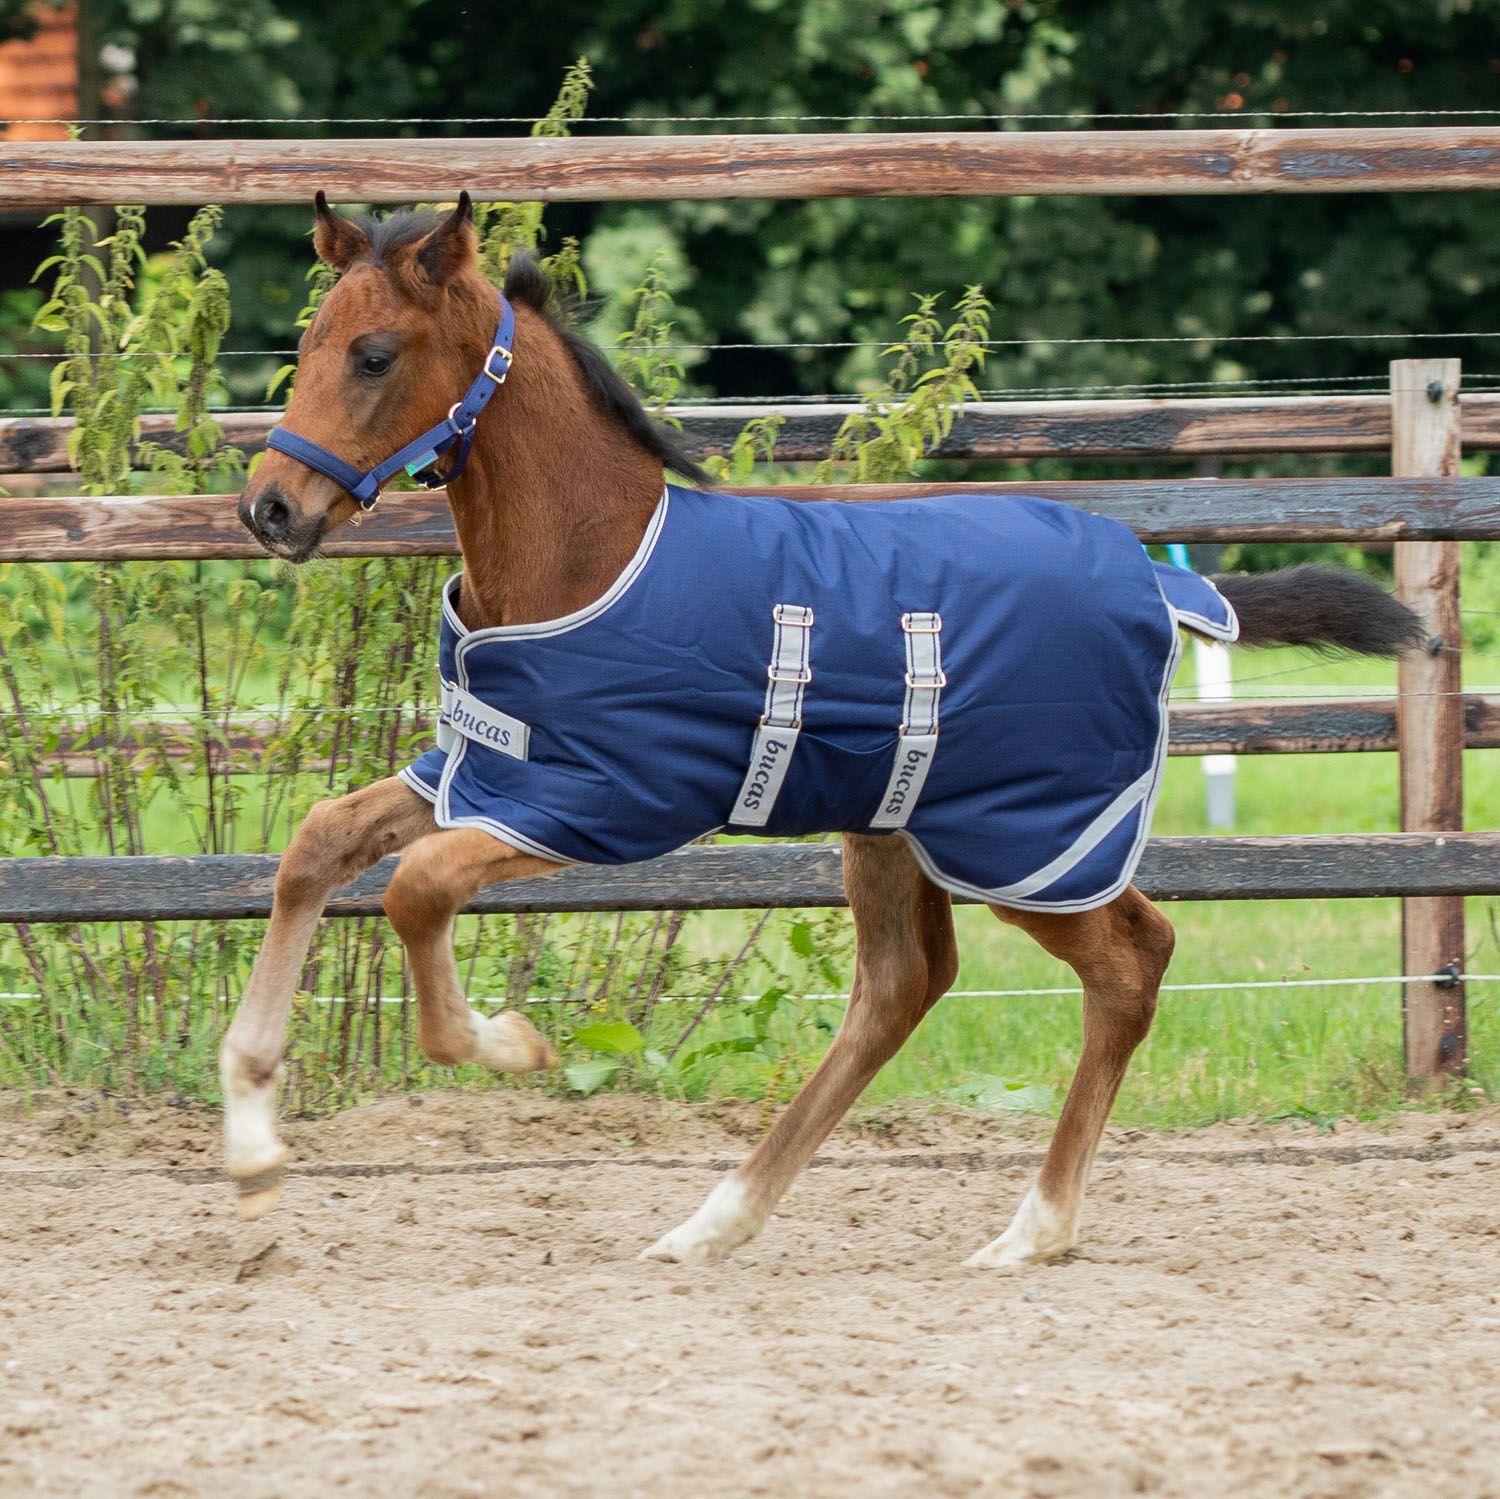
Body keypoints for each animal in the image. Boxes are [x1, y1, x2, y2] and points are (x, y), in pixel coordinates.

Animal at [224, 192, 1422, 1268]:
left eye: (374, 354)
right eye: (310, 345)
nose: (270, 508)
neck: (590, 554)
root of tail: (1161, 585)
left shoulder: (601, 800)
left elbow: (419, 886)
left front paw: (511, 1041)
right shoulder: (477, 769)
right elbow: (319, 843)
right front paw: (250, 1144)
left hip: (1030, 842)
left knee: (1131, 960)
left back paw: (1031, 1231)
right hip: (899, 825)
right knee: (902, 986)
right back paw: (714, 1223)